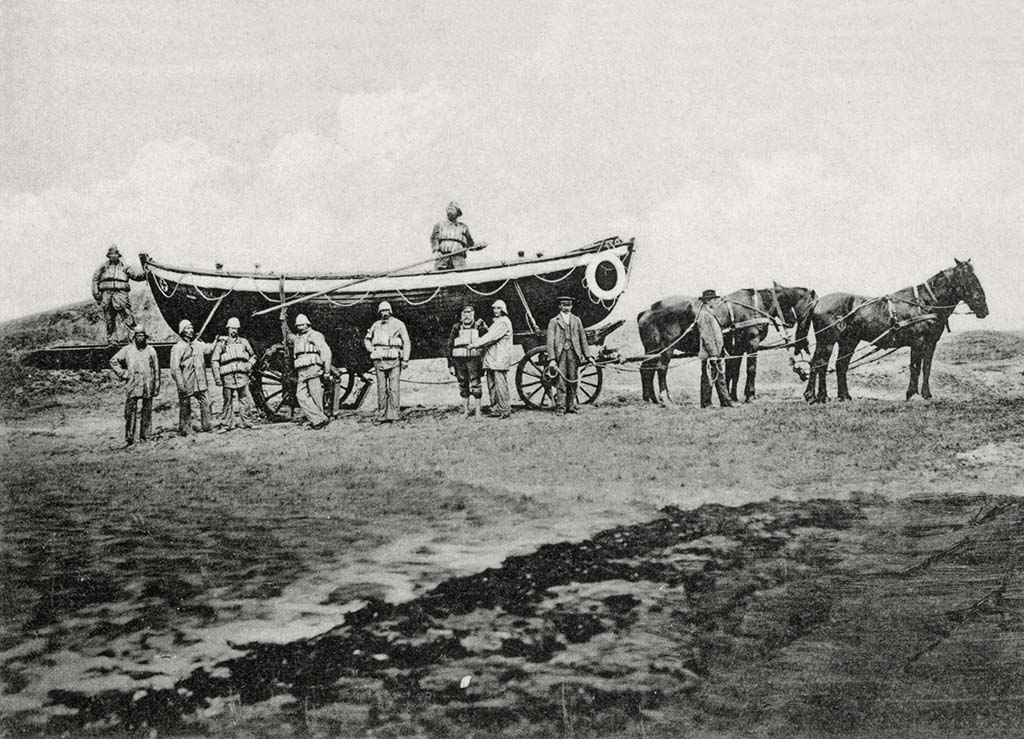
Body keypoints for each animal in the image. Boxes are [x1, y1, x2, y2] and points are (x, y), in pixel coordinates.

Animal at [634, 282, 819, 403]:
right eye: (811, 306)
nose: (793, 322)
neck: (756, 306)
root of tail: (647, 311)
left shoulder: (738, 348)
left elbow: (733, 372)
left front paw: (733, 396)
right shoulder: (752, 343)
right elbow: (751, 369)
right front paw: (749, 395)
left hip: (652, 350)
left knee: (646, 370)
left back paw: (650, 398)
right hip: (666, 348)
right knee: (661, 370)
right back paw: (665, 397)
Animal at [794, 258, 987, 403]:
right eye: (970, 279)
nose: (984, 309)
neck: (925, 303)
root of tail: (818, 301)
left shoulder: (931, 343)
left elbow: (926, 368)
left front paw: (926, 394)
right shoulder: (918, 342)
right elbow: (915, 367)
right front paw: (912, 394)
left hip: (848, 341)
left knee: (839, 365)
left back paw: (842, 396)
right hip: (827, 340)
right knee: (818, 363)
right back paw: (815, 396)